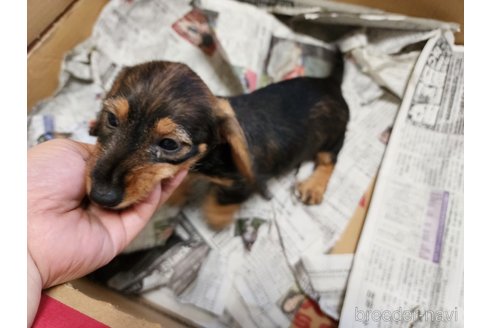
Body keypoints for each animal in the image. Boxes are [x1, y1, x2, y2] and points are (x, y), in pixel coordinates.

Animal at [87, 51, 350, 229]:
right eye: (111, 119)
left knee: (329, 160)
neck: (211, 155)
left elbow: (223, 201)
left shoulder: (241, 185)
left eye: (169, 144)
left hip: (333, 138)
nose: (100, 196)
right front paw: (179, 193)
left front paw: (217, 218)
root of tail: (331, 83)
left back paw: (313, 187)